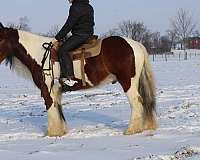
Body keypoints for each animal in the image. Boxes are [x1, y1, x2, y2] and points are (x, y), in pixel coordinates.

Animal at [0, 23, 156, 137]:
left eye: (0, 39)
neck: (41, 55)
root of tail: (135, 44)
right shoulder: (56, 90)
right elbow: (58, 109)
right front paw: (61, 131)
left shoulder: (47, 90)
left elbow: (51, 109)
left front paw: (53, 133)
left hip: (128, 82)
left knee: (136, 102)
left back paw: (131, 130)